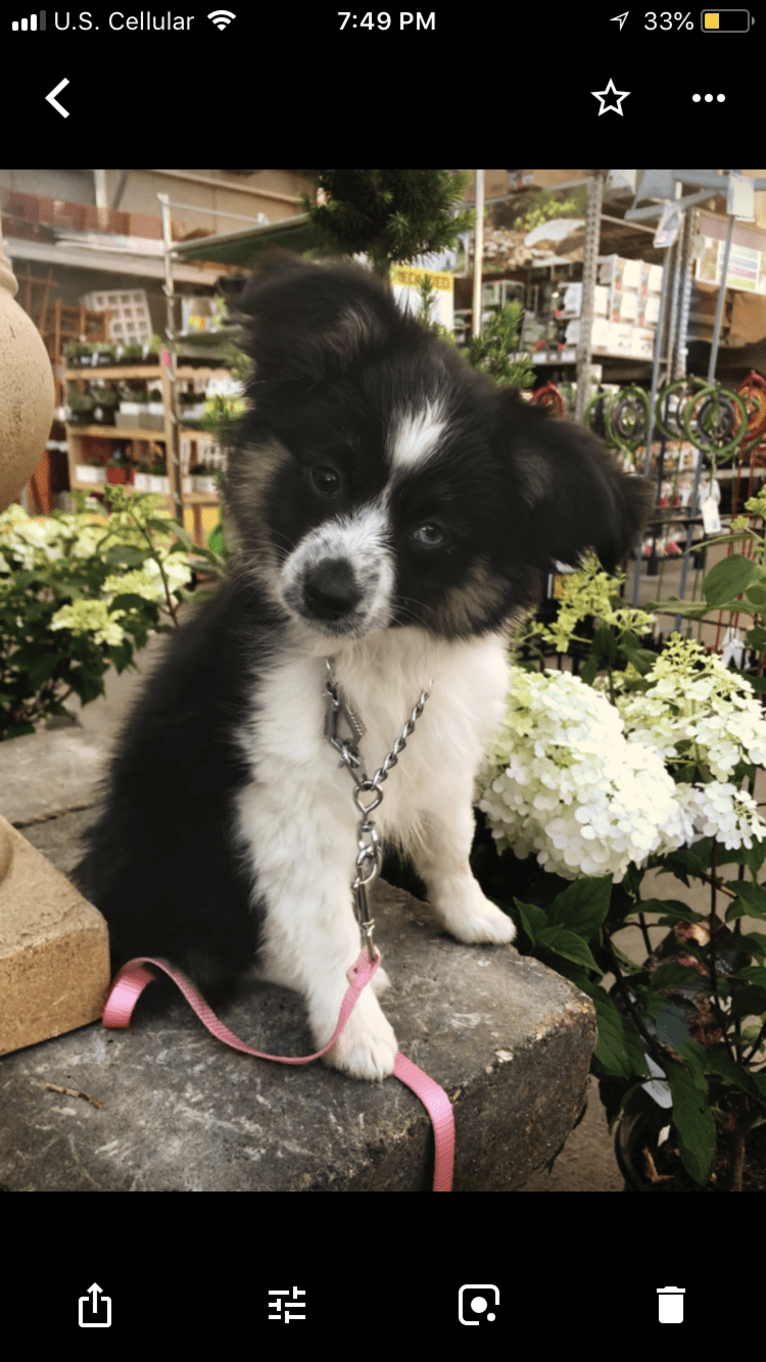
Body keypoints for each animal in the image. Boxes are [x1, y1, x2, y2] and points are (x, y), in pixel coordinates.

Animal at [72, 256, 648, 1078]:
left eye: (432, 531)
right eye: (326, 478)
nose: (328, 590)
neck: (374, 654)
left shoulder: (440, 745)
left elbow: (452, 839)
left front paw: (472, 913)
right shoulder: (286, 802)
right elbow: (323, 923)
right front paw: (355, 1030)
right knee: (205, 953)